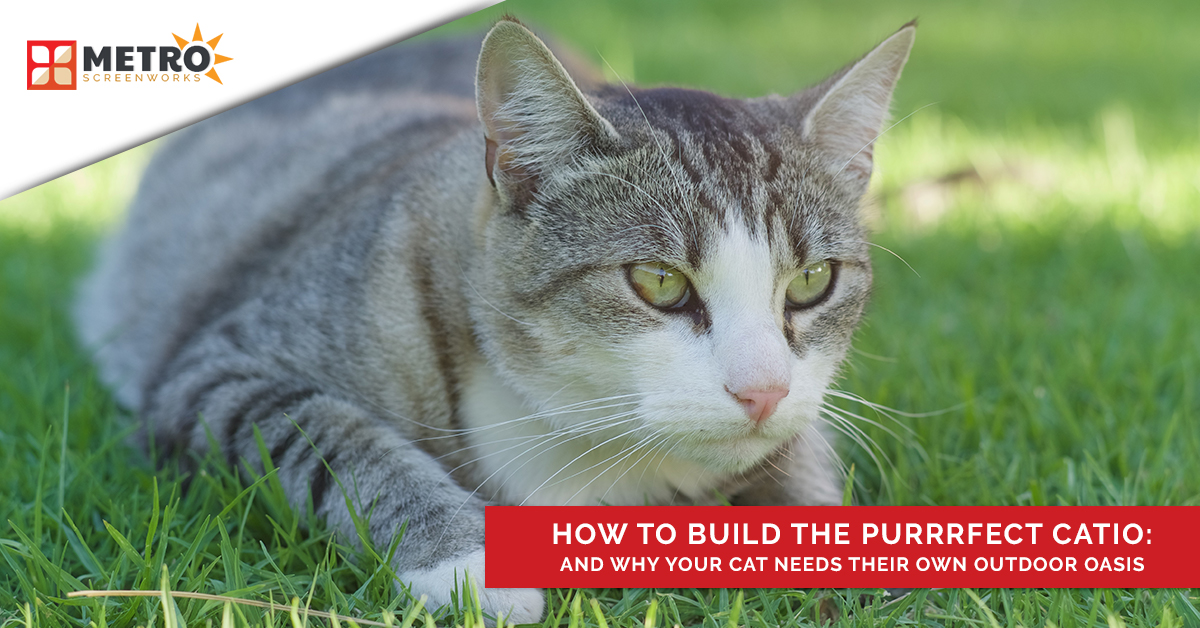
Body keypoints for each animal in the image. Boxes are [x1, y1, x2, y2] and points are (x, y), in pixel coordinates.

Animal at [72, 17, 916, 624]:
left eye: (812, 281)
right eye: (659, 281)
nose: (763, 391)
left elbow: (803, 463)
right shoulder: (215, 369)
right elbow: (333, 438)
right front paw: (465, 560)